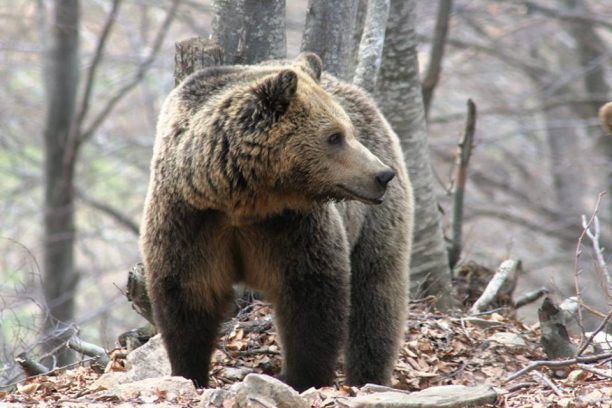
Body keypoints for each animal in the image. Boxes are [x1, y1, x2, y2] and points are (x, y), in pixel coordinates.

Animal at [141, 52, 414, 390]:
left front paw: (303, 377)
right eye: (334, 136)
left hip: (373, 223)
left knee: (376, 294)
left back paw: (368, 375)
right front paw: (190, 372)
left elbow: (311, 300)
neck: (243, 199)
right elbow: (187, 297)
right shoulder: (190, 220)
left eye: (347, 131)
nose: (382, 174)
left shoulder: (291, 227)